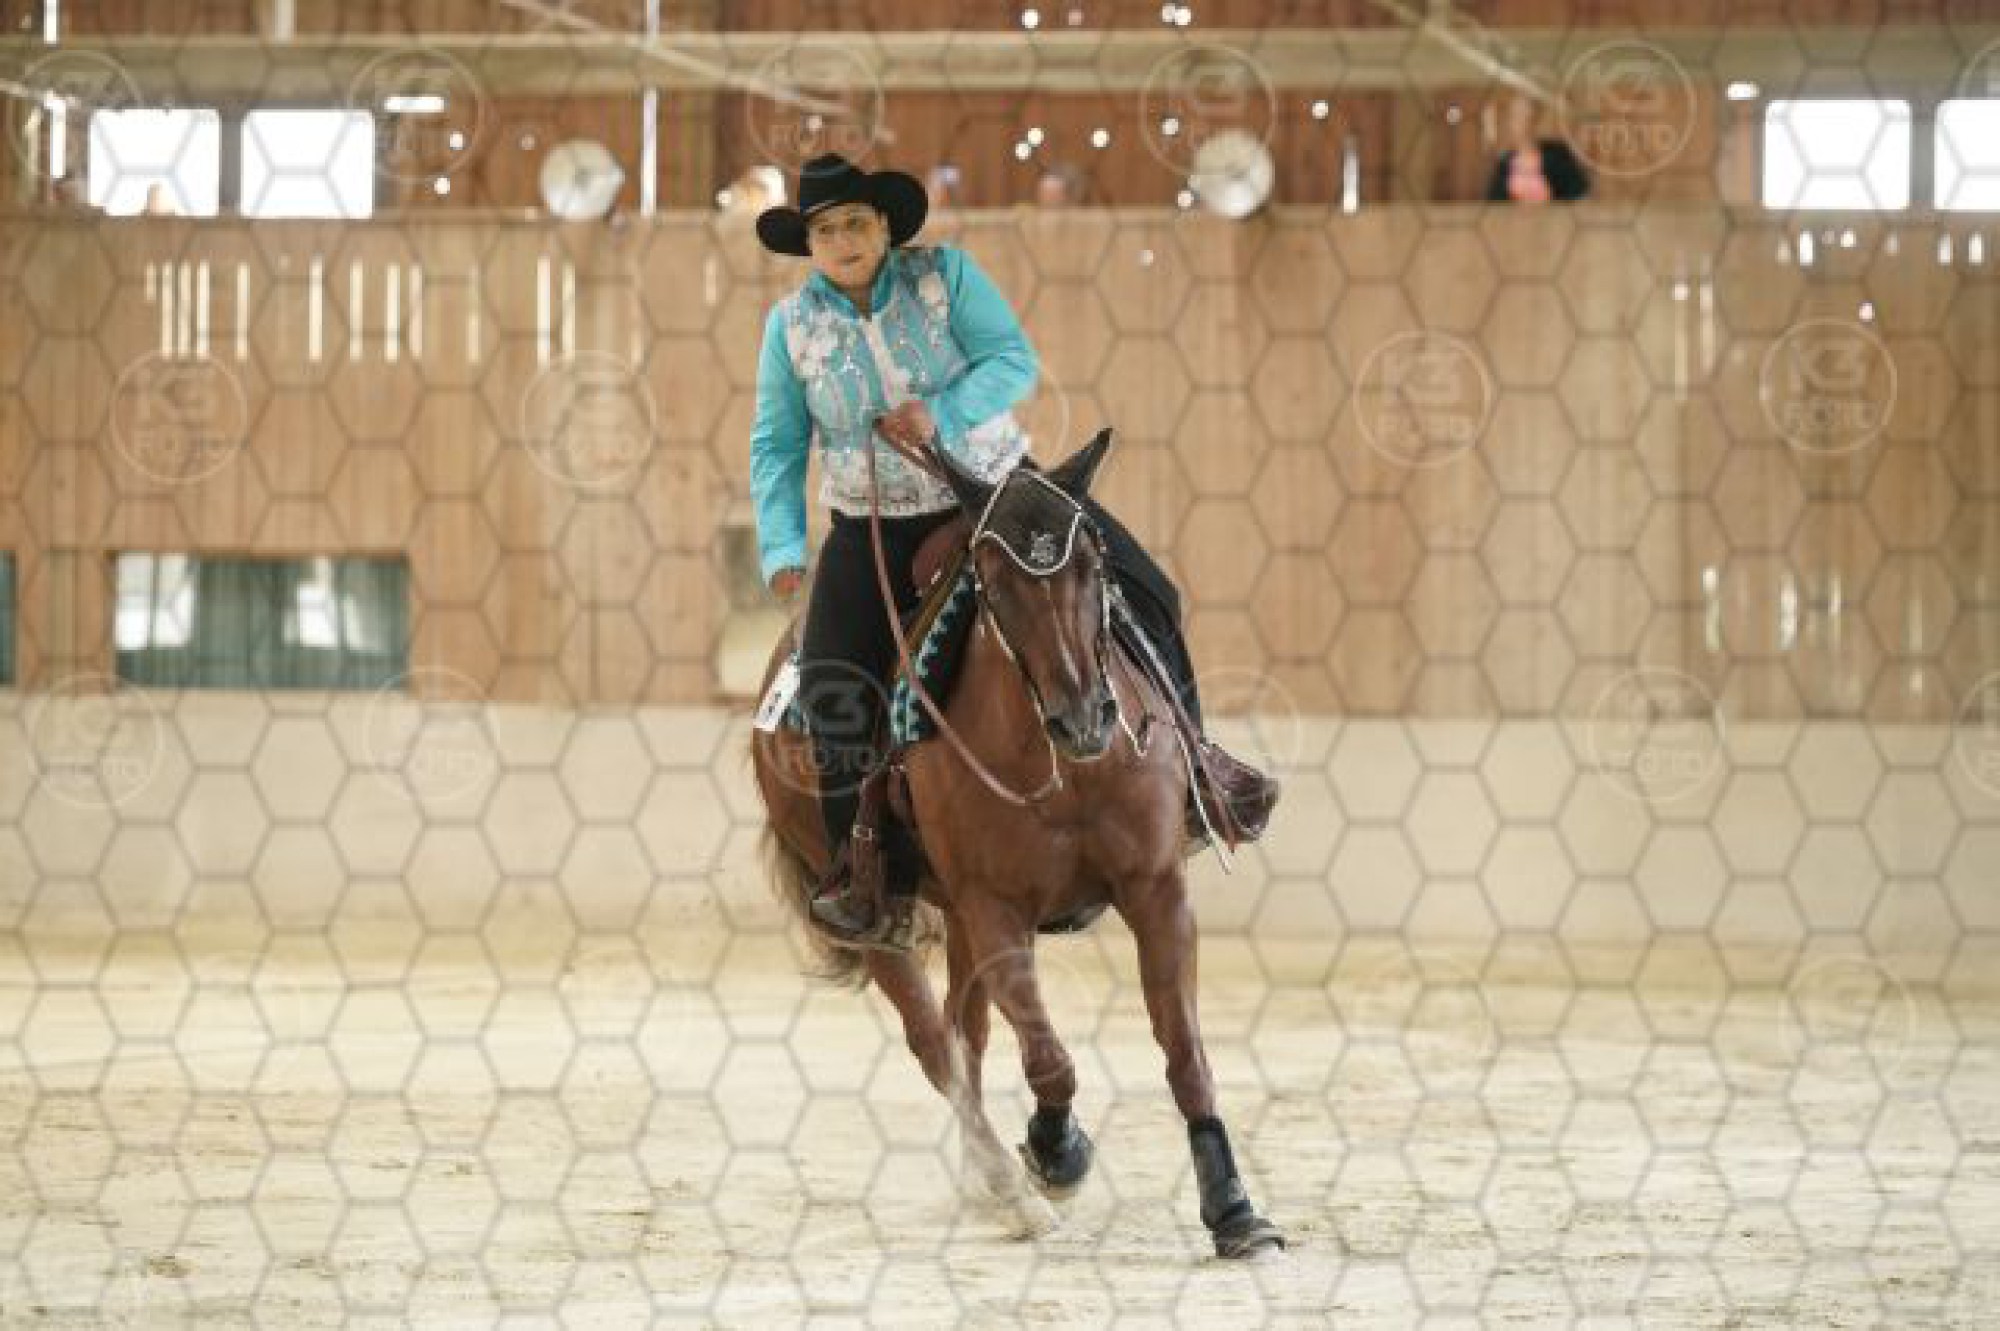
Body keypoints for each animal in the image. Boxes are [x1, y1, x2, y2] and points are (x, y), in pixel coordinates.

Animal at [750, 427, 1285, 1258]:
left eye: (1092, 564)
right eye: (995, 585)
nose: (1083, 717)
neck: (1063, 768)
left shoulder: (1156, 887)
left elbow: (1183, 1049)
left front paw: (1233, 1206)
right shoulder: (995, 906)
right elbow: (1049, 1057)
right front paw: (1056, 1151)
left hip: (957, 915)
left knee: (965, 1032)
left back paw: (987, 1183)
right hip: (876, 908)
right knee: (935, 1041)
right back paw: (1009, 1185)